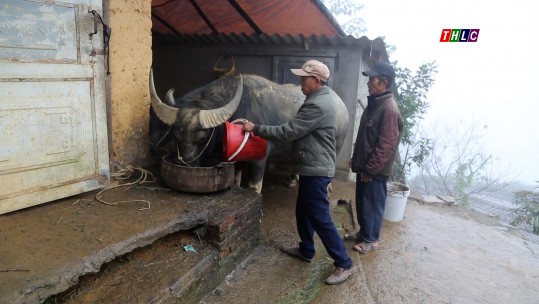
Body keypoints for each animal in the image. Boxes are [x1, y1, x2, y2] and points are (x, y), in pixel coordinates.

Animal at [150, 69, 350, 192]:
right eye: (175, 135)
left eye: (202, 137)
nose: (186, 165)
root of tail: (342, 106)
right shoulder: (237, 156)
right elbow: (236, 180)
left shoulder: (259, 159)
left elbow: (254, 186)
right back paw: (293, 180)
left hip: (338, 145)